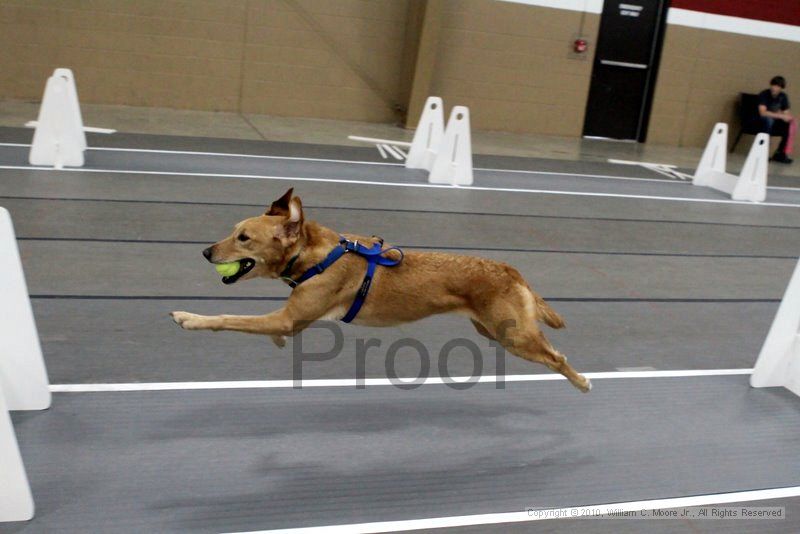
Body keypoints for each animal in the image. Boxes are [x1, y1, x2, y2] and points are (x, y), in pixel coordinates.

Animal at [172, 189, 592, 394]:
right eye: (233, 231)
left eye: (243, 238)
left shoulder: (290, 319)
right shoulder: (287, 318)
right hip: (491, 330)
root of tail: (511, 269)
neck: (315, 255)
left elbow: (228, 318)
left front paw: (189, 318)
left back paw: (582, 382)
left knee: (556, 356)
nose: (206, 252)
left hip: (513, 336)